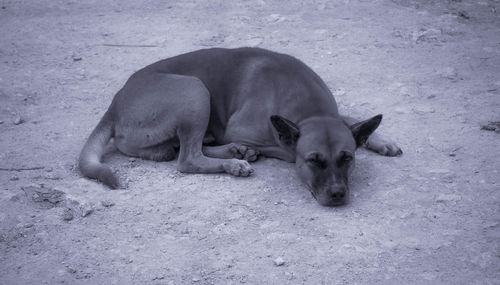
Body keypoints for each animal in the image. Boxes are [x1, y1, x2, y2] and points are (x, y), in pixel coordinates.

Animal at [79, 47, 402, 205]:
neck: (311, 110)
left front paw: (382, 140)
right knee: (188, 159)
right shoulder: (247, 130)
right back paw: (234, 161)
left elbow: (348, 117)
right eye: (313, 161)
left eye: (347, 158)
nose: (337, 195)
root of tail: (114, 104)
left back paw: (233, 152)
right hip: (195, 90)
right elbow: (285, 148)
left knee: (183, 150)